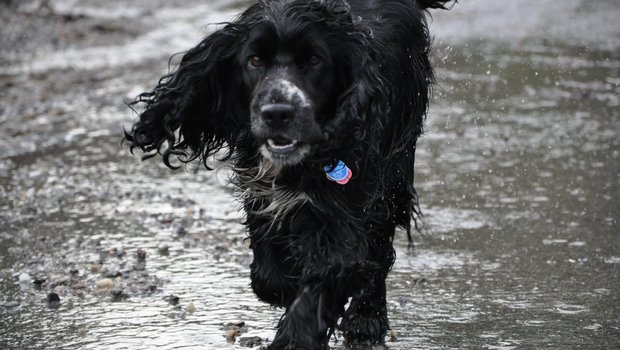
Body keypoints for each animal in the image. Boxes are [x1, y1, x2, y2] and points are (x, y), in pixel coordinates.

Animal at [126, 1, 452, 348]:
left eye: (314, 60)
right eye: (255, 60)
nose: (277, 113)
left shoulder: (347, 205)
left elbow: (330, 277)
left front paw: (296, 336)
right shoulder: (262, 193)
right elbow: (268, 273)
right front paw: (285, 283)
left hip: (394, 172)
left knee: (380, 246)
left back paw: (366, 320)